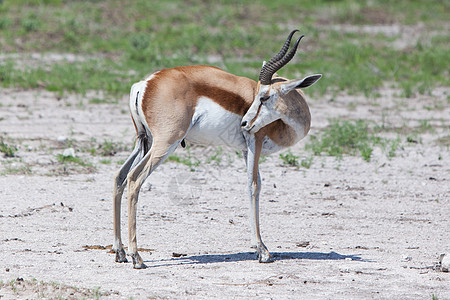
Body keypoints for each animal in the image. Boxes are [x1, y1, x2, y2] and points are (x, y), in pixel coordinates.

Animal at [114, 29, 322, 270]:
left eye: (265, 96)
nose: (244, 123)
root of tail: (145, 83)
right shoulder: (255, 141)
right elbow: (253, 187)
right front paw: (263, 251)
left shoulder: (245, 150)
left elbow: (257, 184)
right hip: (165, 143)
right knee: (134, 179)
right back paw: (137, 257)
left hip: (144, 141)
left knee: (120, 176)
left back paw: (120, 252)